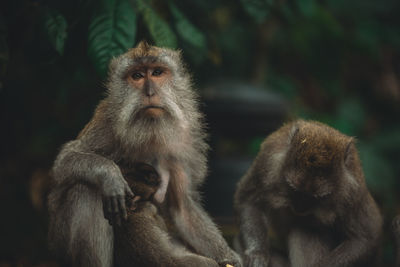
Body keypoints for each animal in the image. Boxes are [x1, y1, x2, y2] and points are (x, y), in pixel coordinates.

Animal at [47, 42, 241, 267]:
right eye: (137, 75)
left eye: (157, 72)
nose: (149, 92)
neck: (150, 130)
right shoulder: (106, 123)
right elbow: (65, 161)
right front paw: (109, 175)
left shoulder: (185, 139)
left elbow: (182, 207)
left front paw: (230, 257)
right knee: (85, 190)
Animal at [234, 121, 382, 267]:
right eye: (294, 190)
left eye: (317, 197)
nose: (300, 208)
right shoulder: (268, 160)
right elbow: (250, 200)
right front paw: (258, 253)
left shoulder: (354, 190)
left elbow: (365, 238)